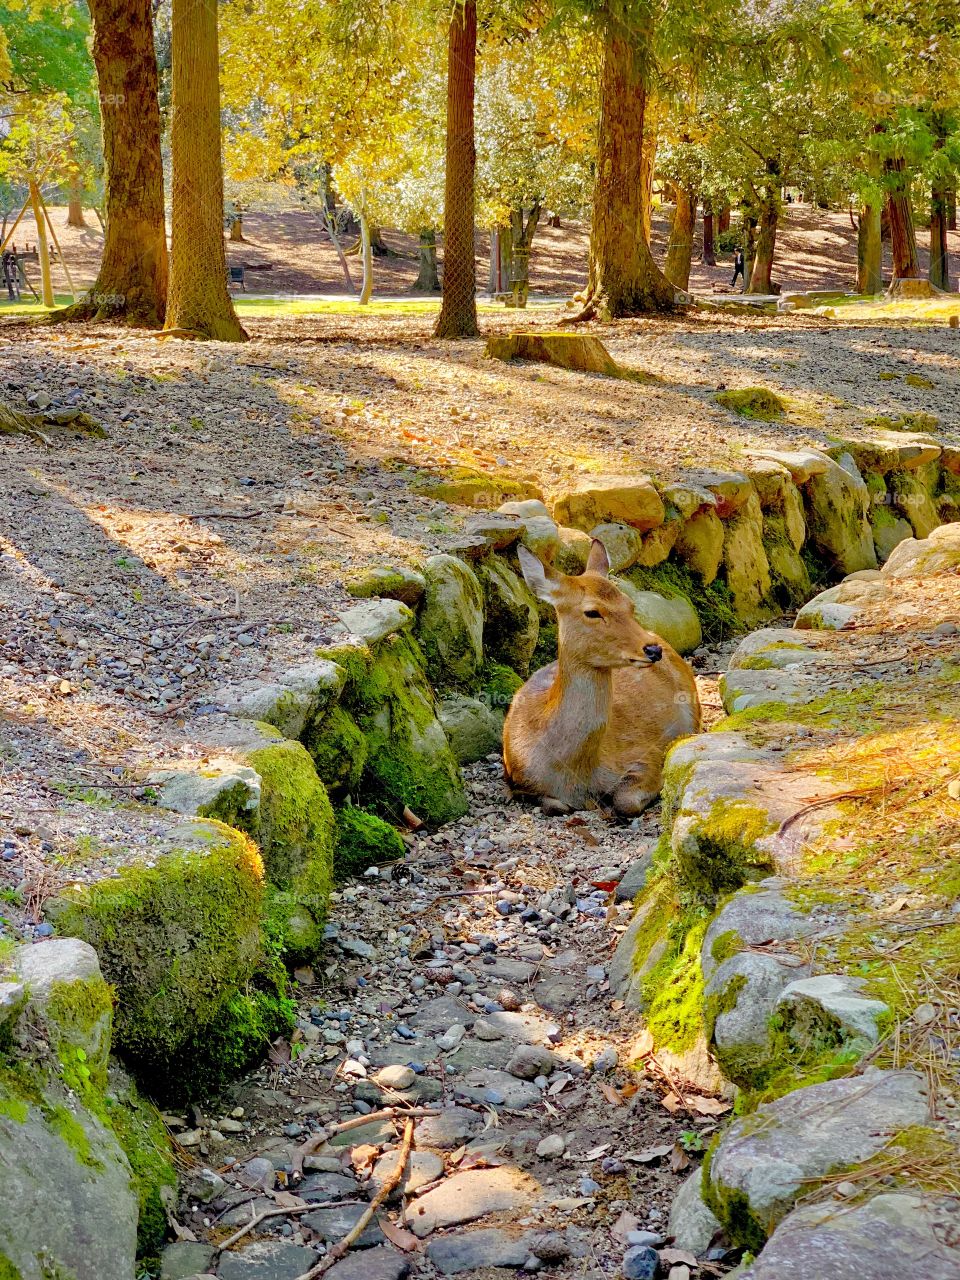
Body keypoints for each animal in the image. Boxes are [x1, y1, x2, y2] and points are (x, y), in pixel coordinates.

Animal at [503, 540, 701, 816]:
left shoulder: (645, 754)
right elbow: (553, 805)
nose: (653, 649)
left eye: (629, 604)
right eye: (592, 612)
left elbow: (625, 800)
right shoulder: (518, 779)